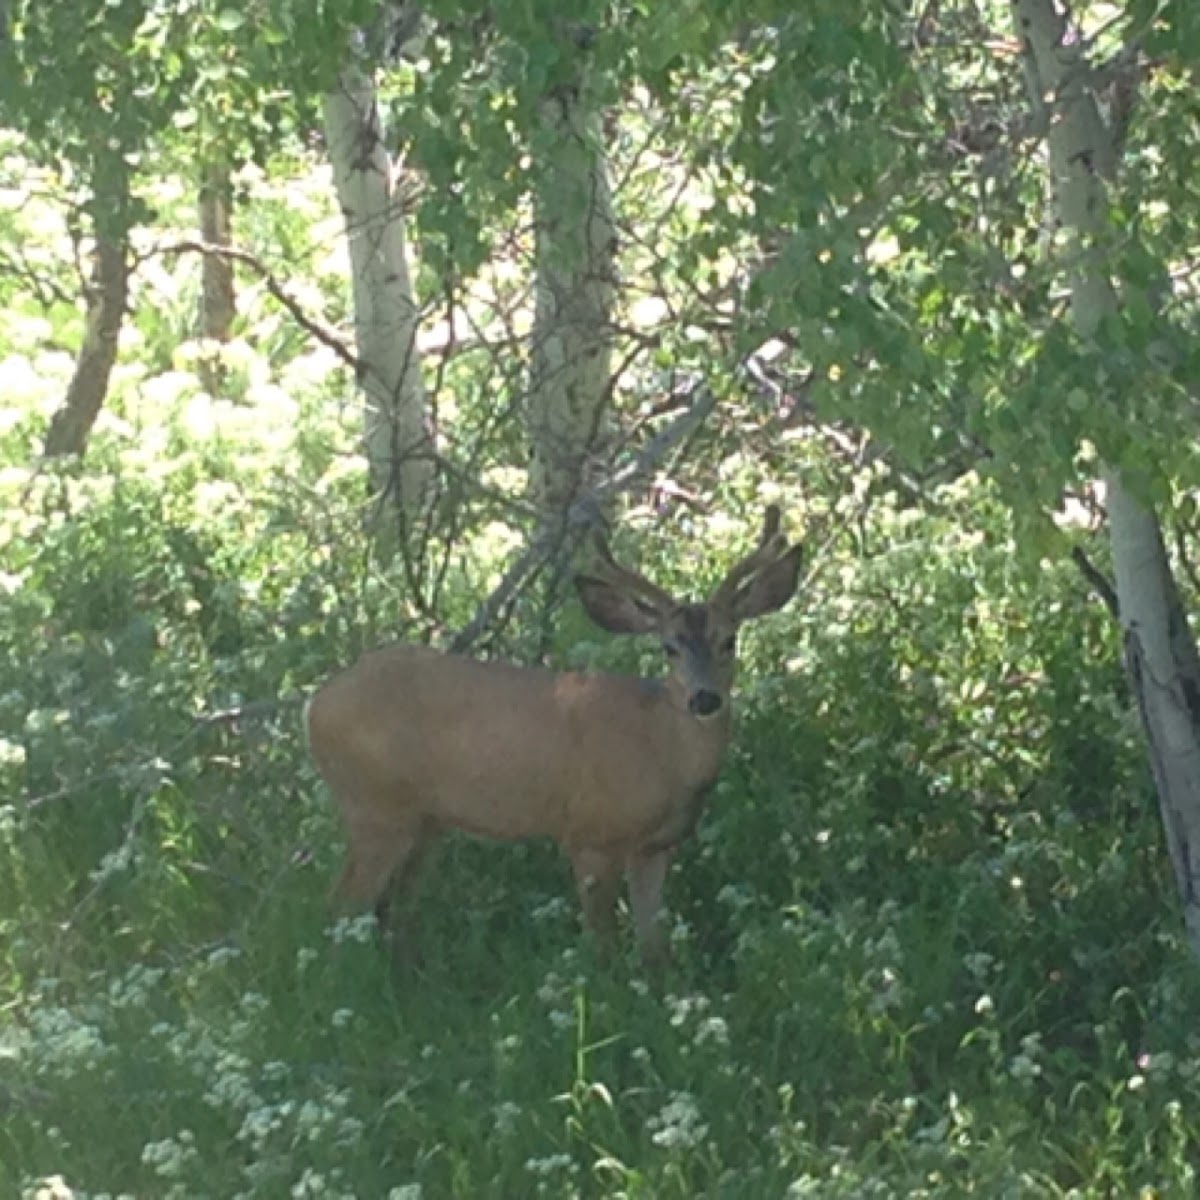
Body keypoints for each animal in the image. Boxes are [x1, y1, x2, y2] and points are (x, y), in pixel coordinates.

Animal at [304, 504, 801, 964]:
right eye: (669, 647)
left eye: (729, 640)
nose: (704, 699)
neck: (661, 753)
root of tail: (315, 705)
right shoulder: (590, 834)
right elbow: (603, 946)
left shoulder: (656, 847)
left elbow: (654, 949)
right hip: (375, 807)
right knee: (341, 905)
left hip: (425, 823)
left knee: (392, 909)